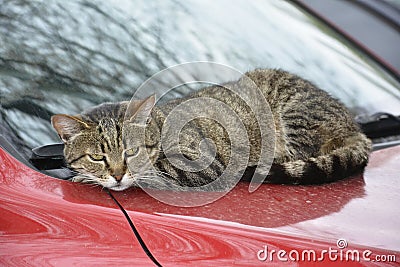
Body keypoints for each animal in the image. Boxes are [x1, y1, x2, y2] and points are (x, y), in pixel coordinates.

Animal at [50, 68, 372, 192]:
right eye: (97, 156)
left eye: (131, 151)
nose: (117, 175)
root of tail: (354, 125)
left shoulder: (204, 162)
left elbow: (156, 171)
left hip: (293, 117)